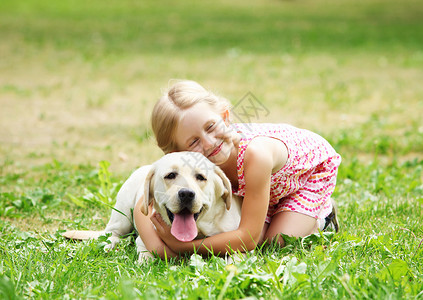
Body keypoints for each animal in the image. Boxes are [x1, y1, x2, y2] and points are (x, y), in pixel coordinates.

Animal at [63, 151, 242, 262]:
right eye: (171, 175)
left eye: (201, 177)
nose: (186, 194)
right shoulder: (144, 239)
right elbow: (146, 254)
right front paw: (145, 262)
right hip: (122, 215)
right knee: (111, 234)